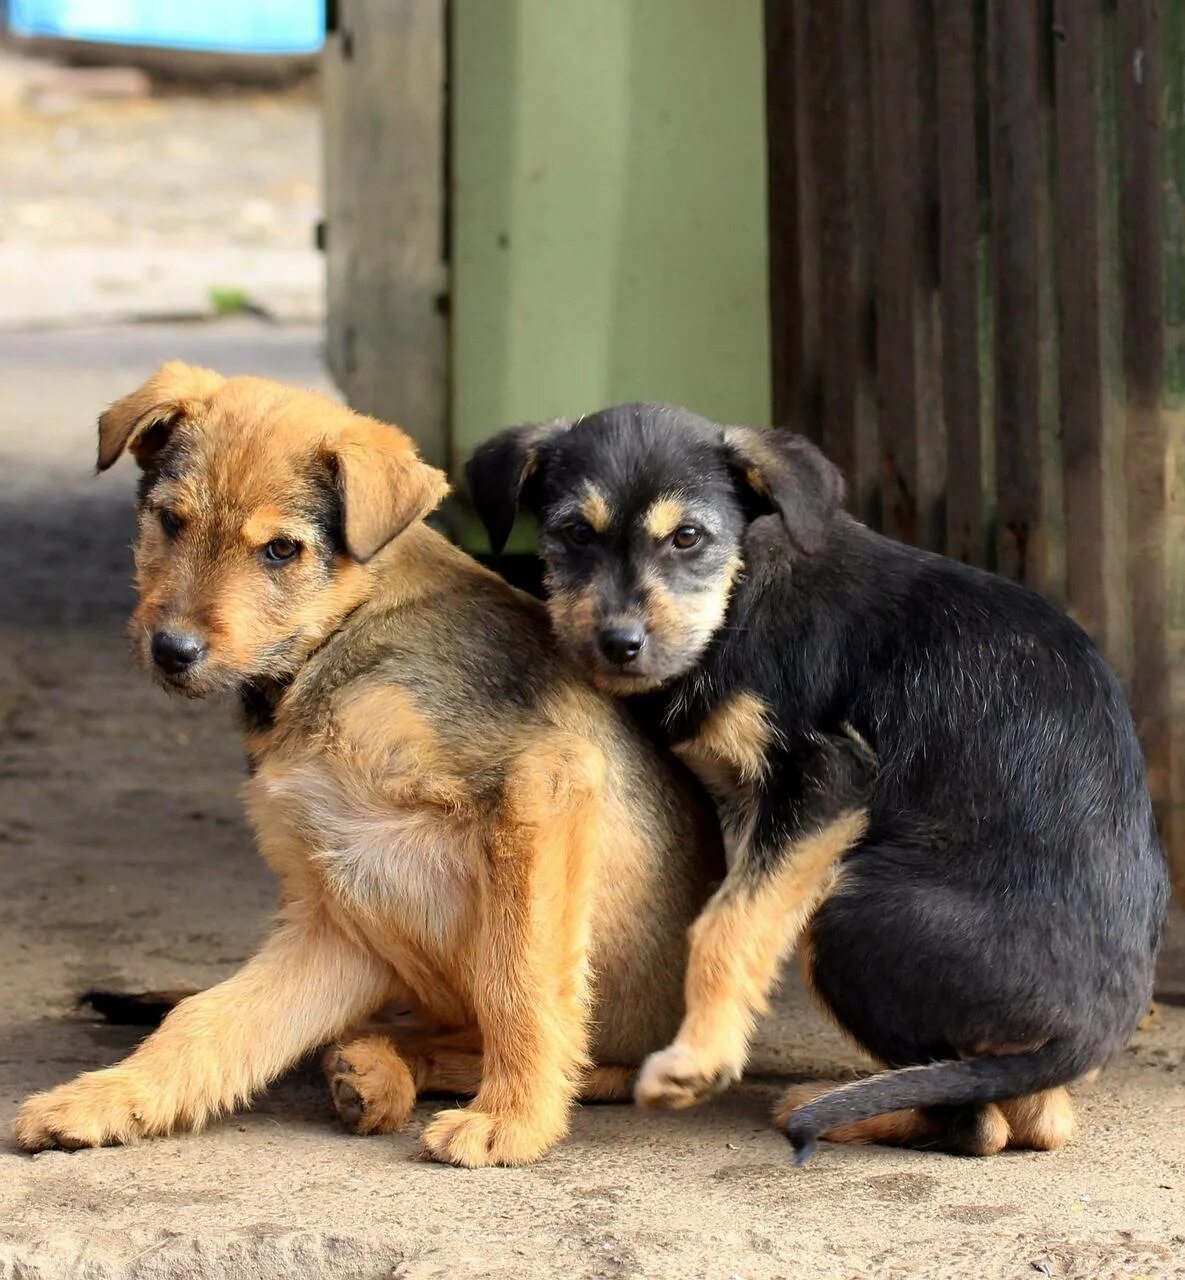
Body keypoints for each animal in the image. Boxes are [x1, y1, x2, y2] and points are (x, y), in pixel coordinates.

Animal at [13, 366, 721, 1167]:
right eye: (170, 521)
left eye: (281, 550)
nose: (171, 651)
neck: (337, 639)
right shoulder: (337, 915)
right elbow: (207, 1019)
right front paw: (105, 1099)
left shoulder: (545, 782)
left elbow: (520, 981)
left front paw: (513, 1120)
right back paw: (371, 1072)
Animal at [468, 404, 1172, 1167]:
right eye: (574, 533)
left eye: (688, 537)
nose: (619, 644)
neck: (737, 595)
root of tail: (1096, 1027)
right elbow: (740, 910)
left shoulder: (824, 778)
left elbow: (726, 923)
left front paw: (695, 1060)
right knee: (1033, 1115)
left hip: (847, 919)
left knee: (975, 1123)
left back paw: (832, 1110)